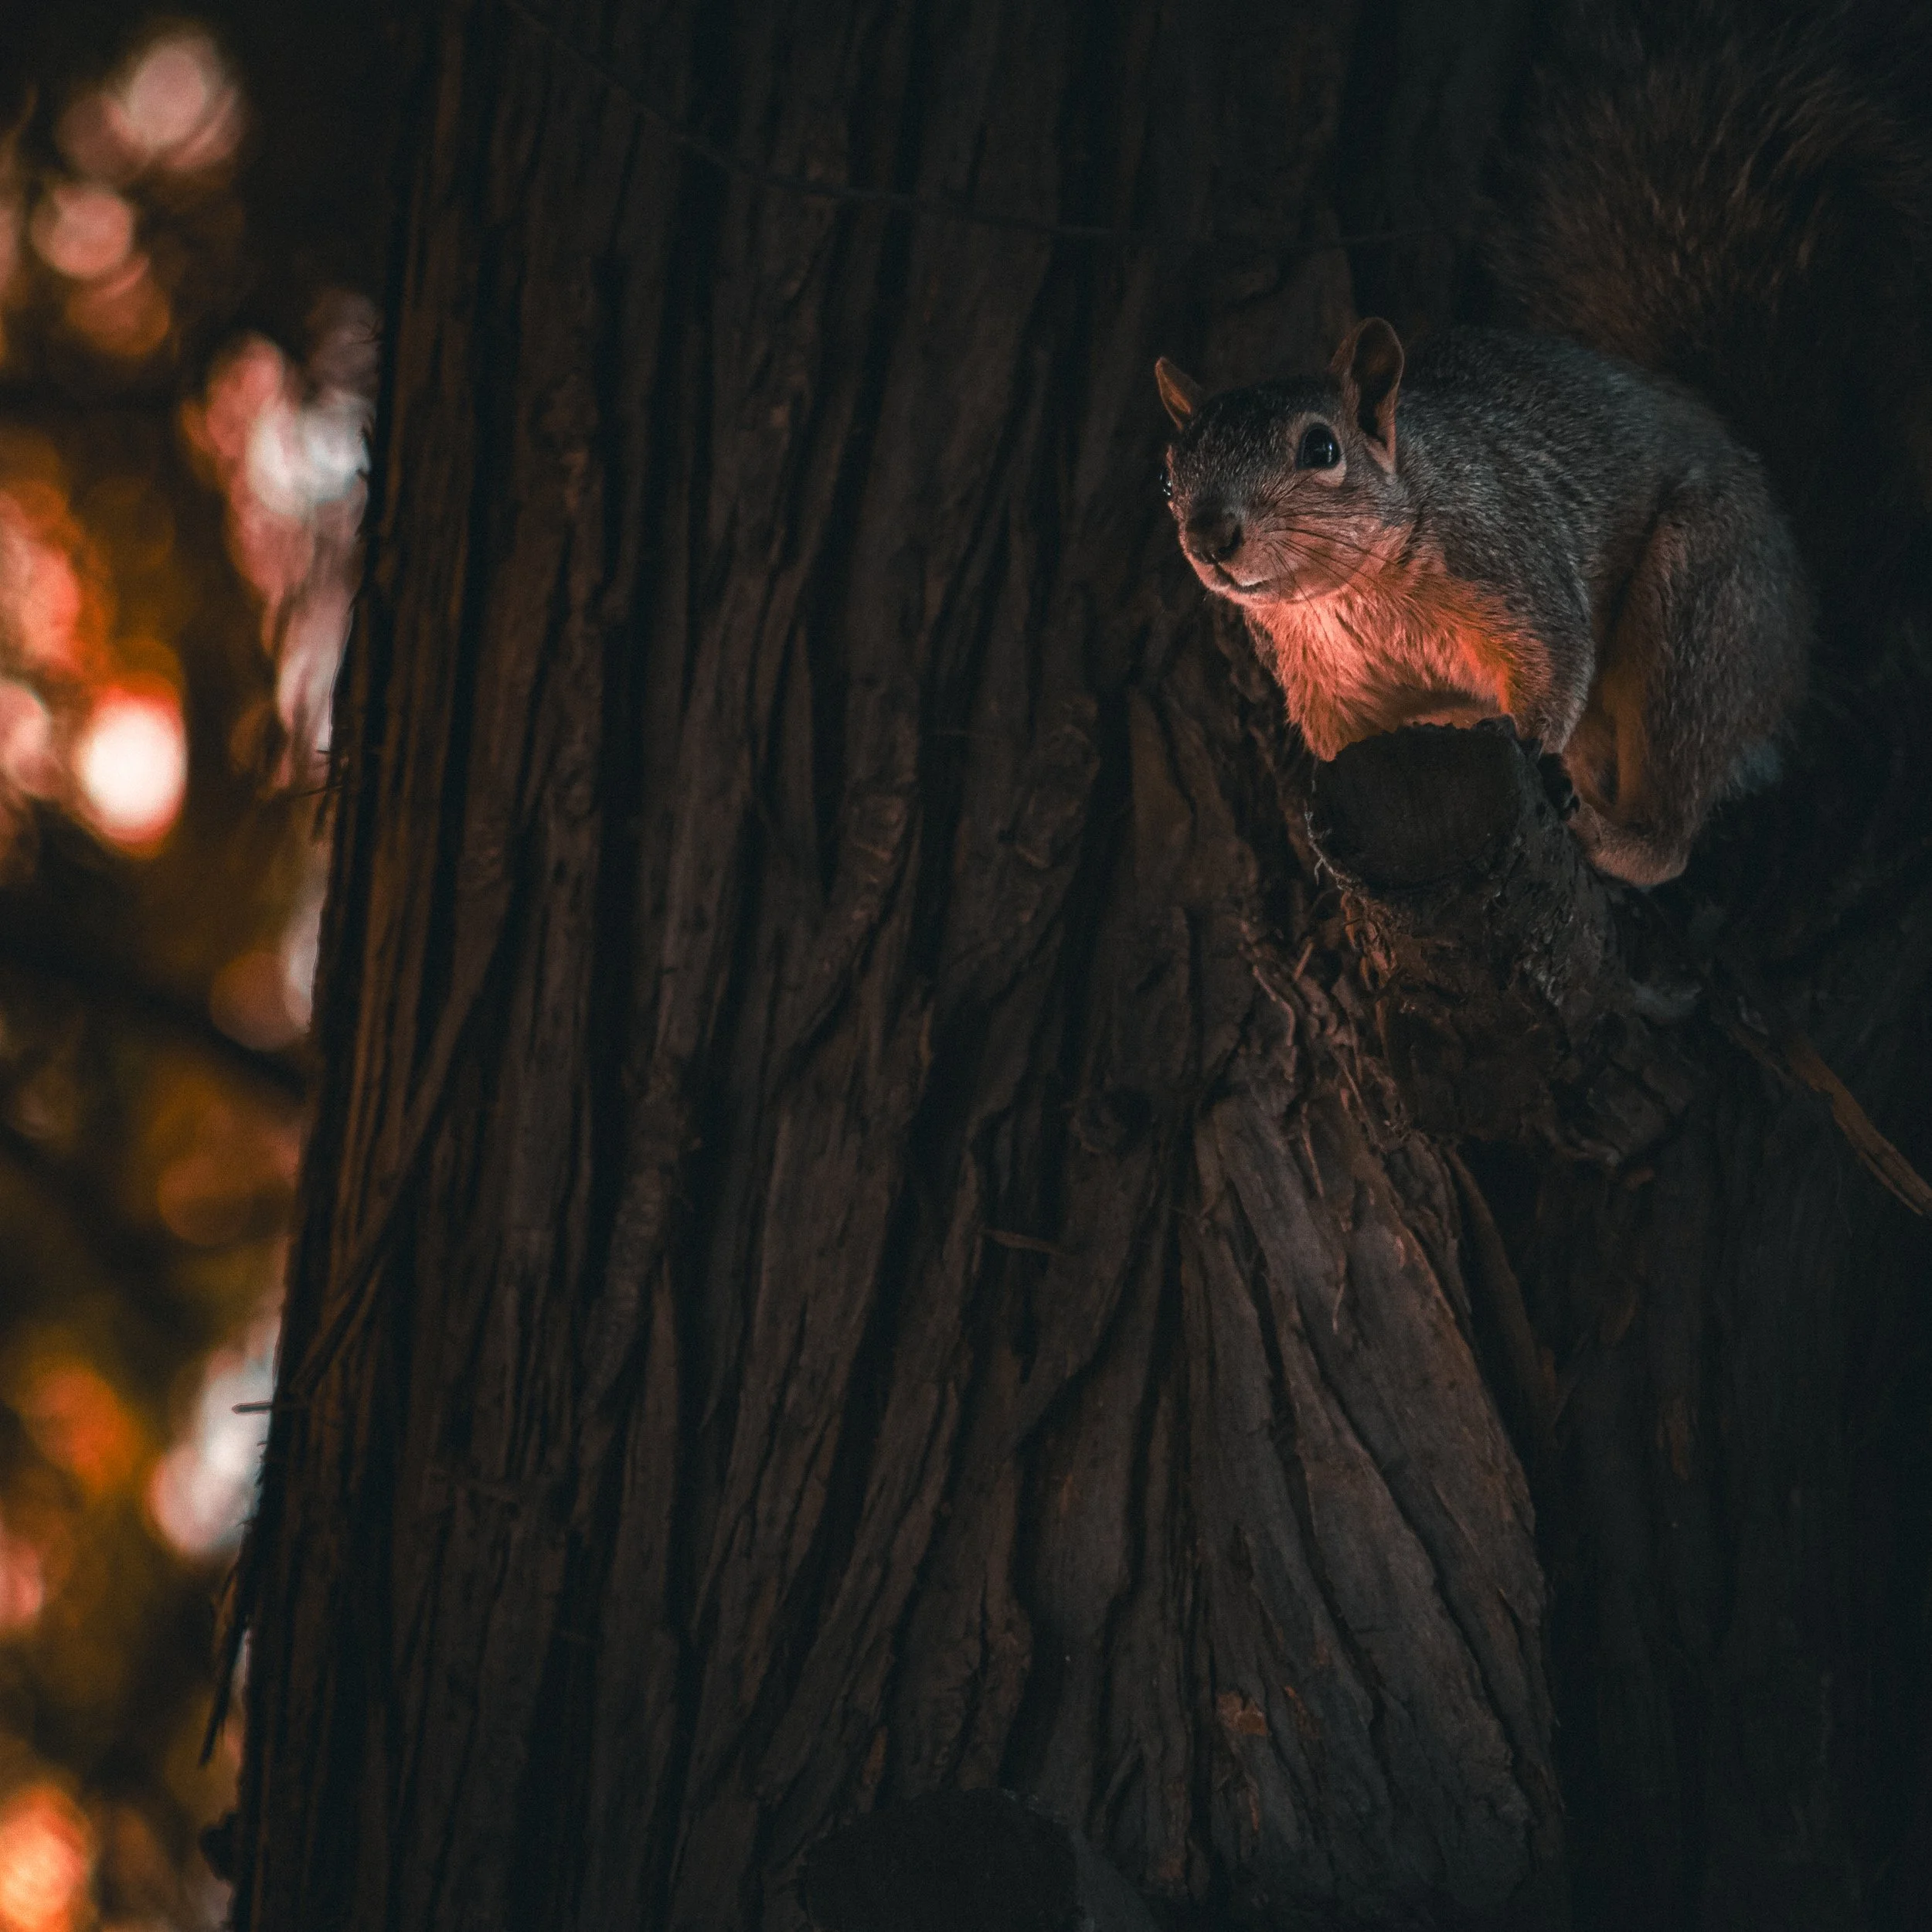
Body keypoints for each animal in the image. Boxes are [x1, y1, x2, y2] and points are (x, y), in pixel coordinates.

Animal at [1155, 3, 1932, 888]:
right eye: (1170, 477)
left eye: (1321, 450)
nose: (1209, 536)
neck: (1352, 596)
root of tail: (1801, 595)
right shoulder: (1335, 697)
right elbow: (1346, 751)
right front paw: (1319, 835)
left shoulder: (1510, 559)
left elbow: (1553, 659)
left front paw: (1527, 744)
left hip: (1706, 612)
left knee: (1672, 810)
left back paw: (1614, 835)